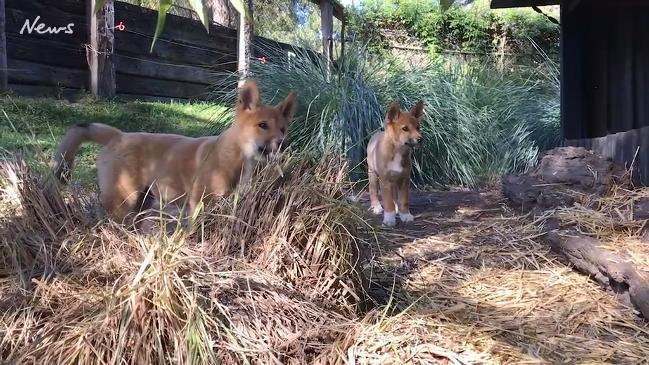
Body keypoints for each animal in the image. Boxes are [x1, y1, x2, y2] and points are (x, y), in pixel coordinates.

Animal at [52, 80, 298, 222]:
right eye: (262, 125)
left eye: (283, 129)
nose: (283, 144)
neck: (233, 156)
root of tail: (118, 135)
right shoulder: (199, 206)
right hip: (123, 200)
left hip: (142, 202)